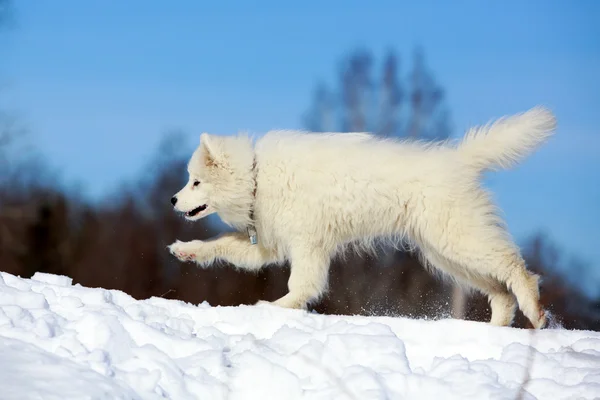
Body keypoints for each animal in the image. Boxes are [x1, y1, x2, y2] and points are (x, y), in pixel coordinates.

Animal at [168, 106, 552, 328]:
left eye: (196, 181)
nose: (172, 200)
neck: (257, 177)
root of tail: (459, 160)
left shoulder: (307, 243)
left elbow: (302, 284)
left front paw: (277, 307)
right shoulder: (269, 243)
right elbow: (221, 245)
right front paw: (186, 250)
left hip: (458, 238)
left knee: (515, 268)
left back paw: (534, 310)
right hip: (446, 252)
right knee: (499, 291)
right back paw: (497, 329)